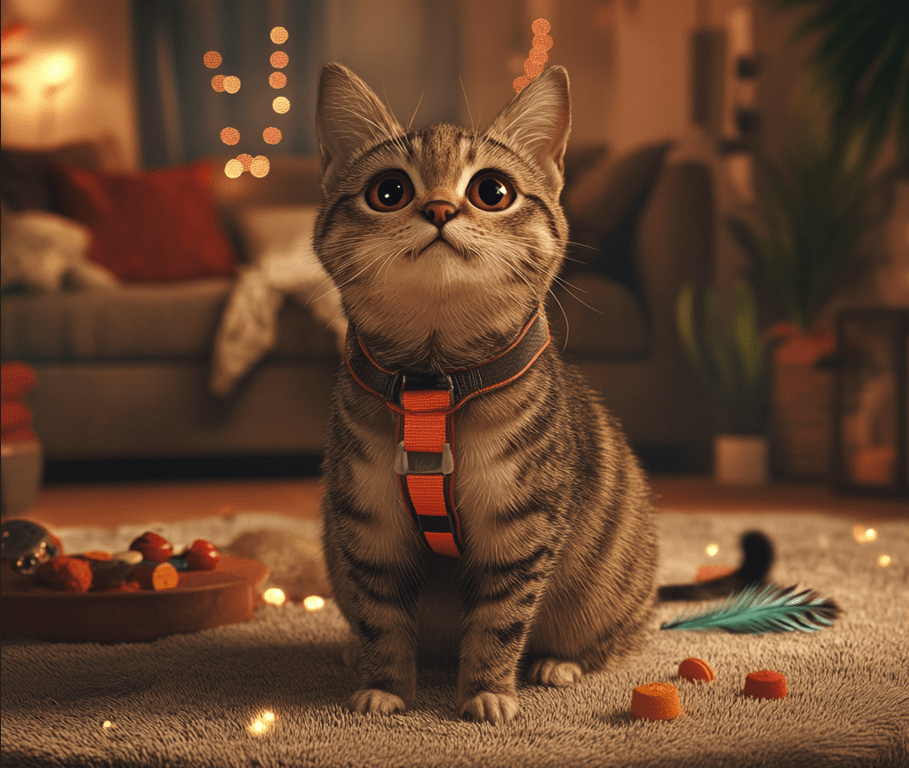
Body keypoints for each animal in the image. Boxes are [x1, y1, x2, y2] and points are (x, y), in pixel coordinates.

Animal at [310, 63, 768, 724]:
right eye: (389, 190)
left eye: (491, 191)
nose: (440, 208)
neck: (433, 382)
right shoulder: (369, 526)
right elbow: (382, 619)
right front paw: (386, 685)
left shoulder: (520, 526)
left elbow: (499, 622)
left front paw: (487, 691)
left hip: (608, 593)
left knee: (619, 638)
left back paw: (560, 663)